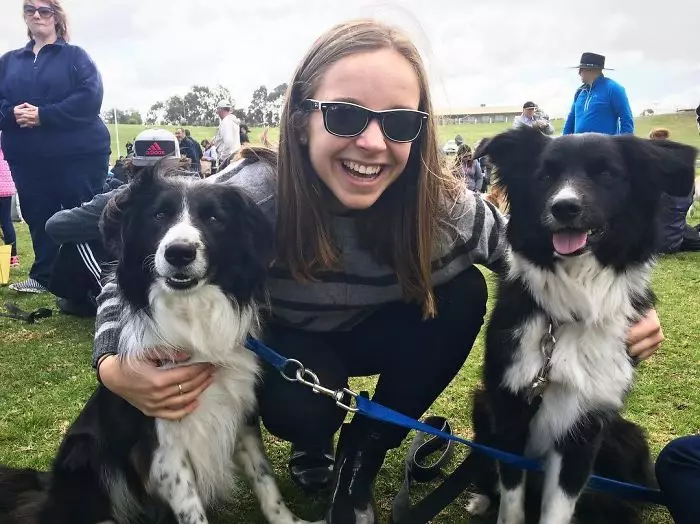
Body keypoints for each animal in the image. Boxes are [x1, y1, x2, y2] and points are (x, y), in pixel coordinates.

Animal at [0, 164, 318, 524]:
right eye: (159, 215)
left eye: (214, 218)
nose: (179, 252)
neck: (192, 315)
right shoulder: (163, 447)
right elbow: (192, 509)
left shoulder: (241, 416)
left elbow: (265, 482)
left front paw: (289, 521)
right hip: (85, 451)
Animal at [464, 128, 696, 524]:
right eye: (545, 176)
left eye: (606, 174)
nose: (564, 207)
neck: (571, 307)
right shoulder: (509, 410)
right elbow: (511, 500)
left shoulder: (584, 427)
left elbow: (558, 507)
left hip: (627, 436)